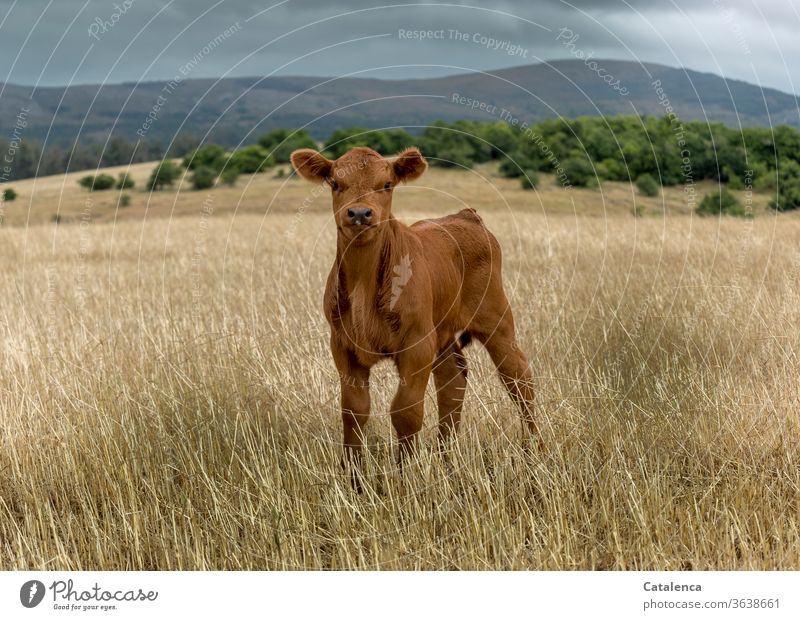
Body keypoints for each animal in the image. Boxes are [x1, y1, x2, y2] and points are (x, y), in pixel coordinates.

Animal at [290, 145, 536, 472]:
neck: (364, 287)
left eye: (386, 184)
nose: (359, 214)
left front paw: (405, 475)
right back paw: (447, 457)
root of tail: (466, 216)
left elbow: (406, 410)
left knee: (518, 376)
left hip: (495, 317)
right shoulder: (342, 345)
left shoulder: (417, 344)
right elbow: (354, 409)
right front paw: (353, 476)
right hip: (442, 332)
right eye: (335, 184)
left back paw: (535, 450)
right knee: (453, 381)